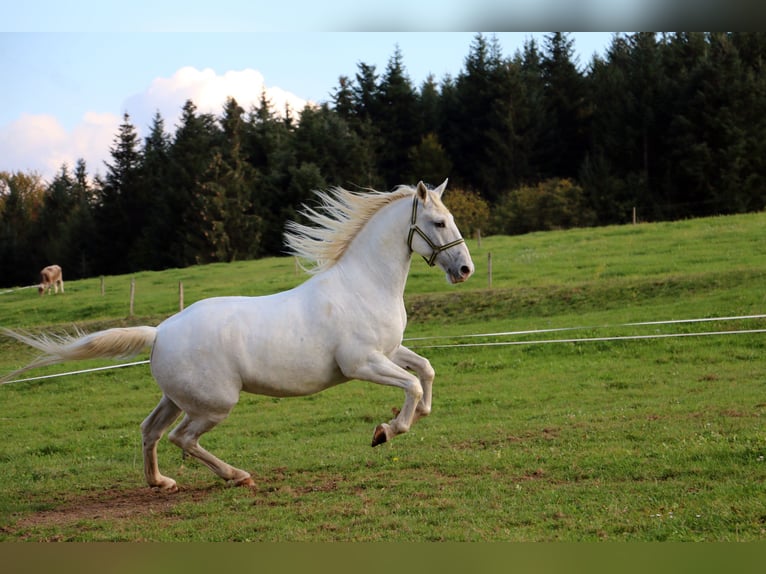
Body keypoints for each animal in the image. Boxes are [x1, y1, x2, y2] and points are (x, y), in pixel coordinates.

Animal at [1, 180, 474, 492]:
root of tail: (159, 332)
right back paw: (237, 475)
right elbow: (412, 384)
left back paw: (161, 482)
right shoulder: (362, 363)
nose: (465, 269)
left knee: (150, 430)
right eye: (438, 222)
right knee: (181, 438)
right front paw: (387, 431)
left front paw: (415, 416)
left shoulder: (389, 350)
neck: (365, 282)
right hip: (215, 403)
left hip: (177, 398)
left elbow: (426, 372)